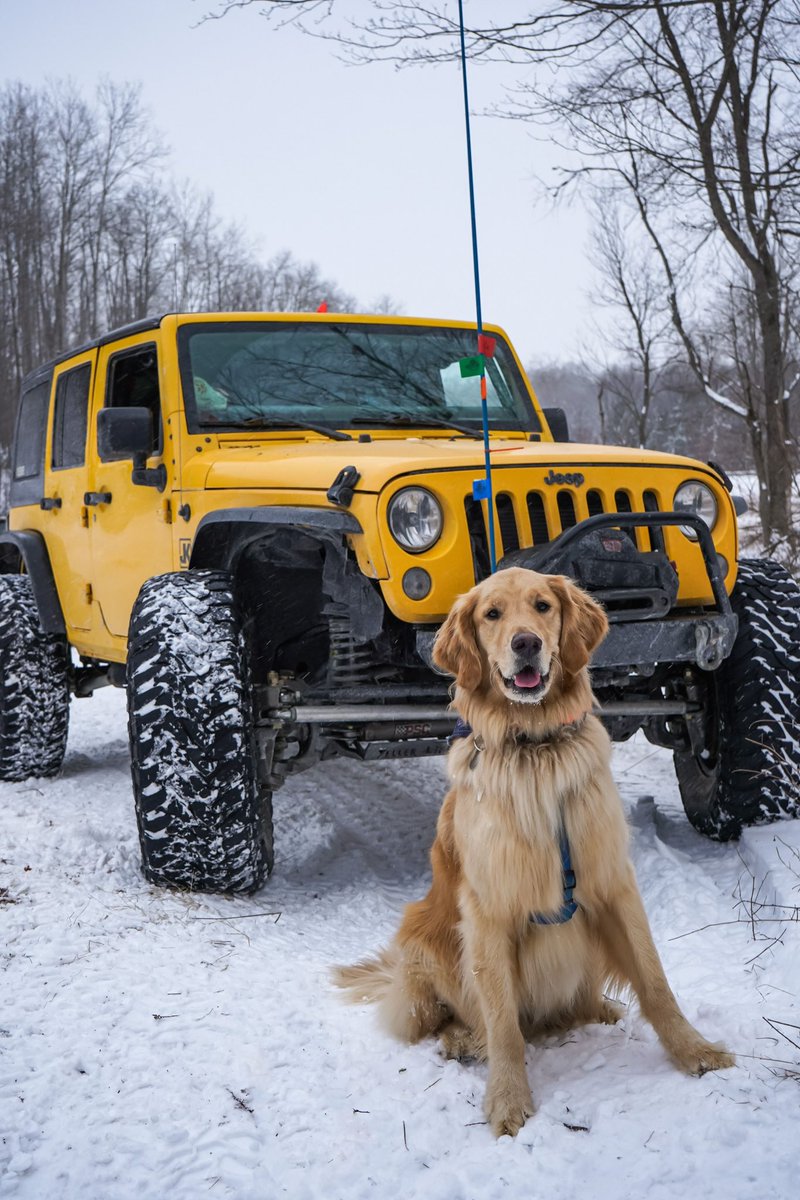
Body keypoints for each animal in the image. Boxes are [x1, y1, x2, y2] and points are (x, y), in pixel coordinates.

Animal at [335, 568, 734, 1132]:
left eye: (543, 606)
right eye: (491, 614)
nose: (526, 643)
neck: (536, 747)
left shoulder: (612, 882)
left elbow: (655, 980)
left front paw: (694, 1051)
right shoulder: (488, 911)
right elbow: (503, 1020)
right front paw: (507, 1099)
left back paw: (600, 1009)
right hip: (422, 951)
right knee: (445, 1020)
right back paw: (464, 1038)